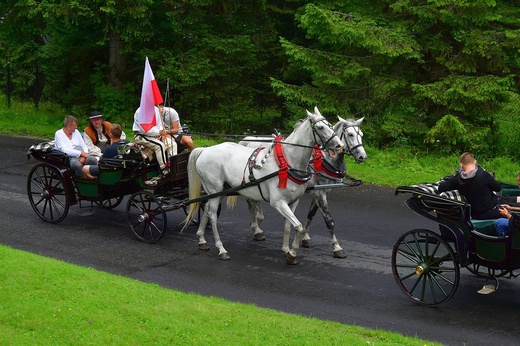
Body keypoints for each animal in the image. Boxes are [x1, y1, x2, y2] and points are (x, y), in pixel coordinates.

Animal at [184, 108, 346, 264]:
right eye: (320, 127)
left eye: (331, 126)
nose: (340, 145)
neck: (287, 161)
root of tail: (205, 150)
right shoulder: (278, 202)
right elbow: (299, 227)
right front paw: (292, 254)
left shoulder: (293, 201)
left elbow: (289, 225)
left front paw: (286, 249)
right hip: (214, 189)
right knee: (212, 216)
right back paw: (221, 249)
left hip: (221, 191)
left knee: (206, 211)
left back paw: (202, 239)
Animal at [240, 115, 366, 258]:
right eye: (350, 134)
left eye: (361, 134)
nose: (362, 156)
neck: (322, 161)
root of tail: (246, 139)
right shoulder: (319, 194)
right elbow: (329, 221)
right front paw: (337, 247)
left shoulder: (320, 192)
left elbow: (310, 215)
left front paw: (305, 238)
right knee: (251, 202)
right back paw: (256, 229)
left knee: (256, 200)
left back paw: (258, 222)